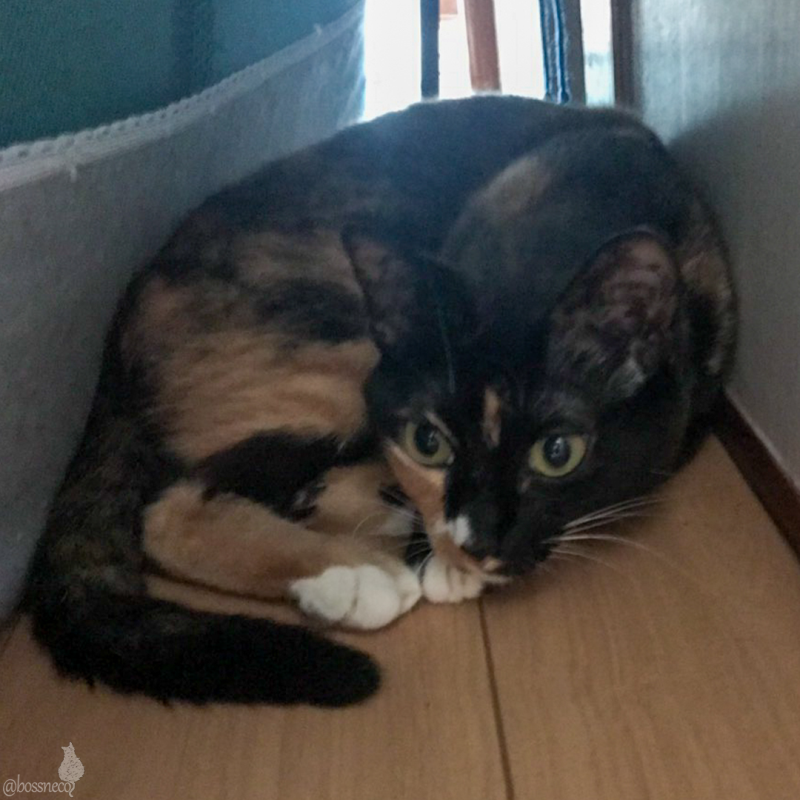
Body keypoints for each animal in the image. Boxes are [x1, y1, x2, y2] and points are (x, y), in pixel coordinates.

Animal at [23, 96, 736, 707]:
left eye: (557, 453)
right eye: (430, 441)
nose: (475, 541)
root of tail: (115, 341)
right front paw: (435, 554)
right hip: (330, 350)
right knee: (173, 509)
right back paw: (349, 575)